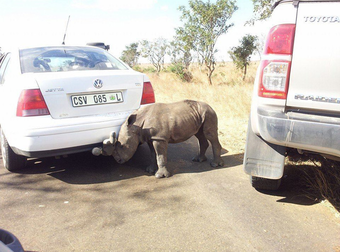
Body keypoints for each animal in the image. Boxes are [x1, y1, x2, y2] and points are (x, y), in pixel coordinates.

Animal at [91, 99, 224, 178]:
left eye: (122, 145)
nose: (119, 160)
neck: (137, 123)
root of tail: (211, 106)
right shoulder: (151, 137)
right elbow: (152, 154)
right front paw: (149, 170)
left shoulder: (159, 138)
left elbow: (160, 155)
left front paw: (160, 176)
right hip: (199, 114)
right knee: (200, 135)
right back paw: (198, 159)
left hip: (209, 113)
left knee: (209, 134)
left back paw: (215, 164)